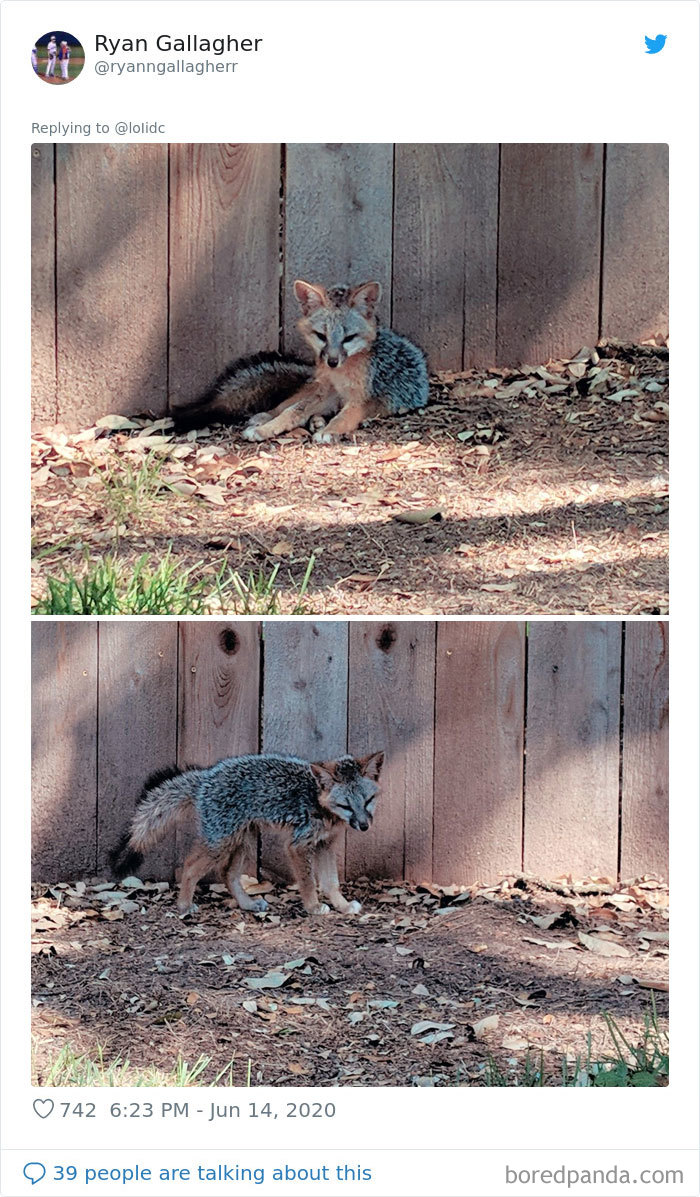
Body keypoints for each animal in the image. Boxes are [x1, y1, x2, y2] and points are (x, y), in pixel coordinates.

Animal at [109, 751, 384, 918]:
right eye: (346, 806)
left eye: (368, 801)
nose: (364, 825)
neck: (316, 799)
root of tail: (206, 776)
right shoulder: (297, 845)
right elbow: (308, 882)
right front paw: (314, 907)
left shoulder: (325, 844)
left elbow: (330, 883)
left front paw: (343, 906)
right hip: (221, 843)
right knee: (188, 866)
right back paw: (184, 905)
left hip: (244, 841)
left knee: (228, 875)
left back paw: (248, 905)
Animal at [170, 280, 429, 443]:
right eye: (321, 336)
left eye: (349, 338)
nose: (332, 361)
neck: (340, 375)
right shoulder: (325, 390)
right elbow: (292, 411)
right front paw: (267, 428)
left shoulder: (364, 399)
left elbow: (344, 416)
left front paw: (331, 430)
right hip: (318, 391)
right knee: (288, 404)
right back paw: (267, 418)